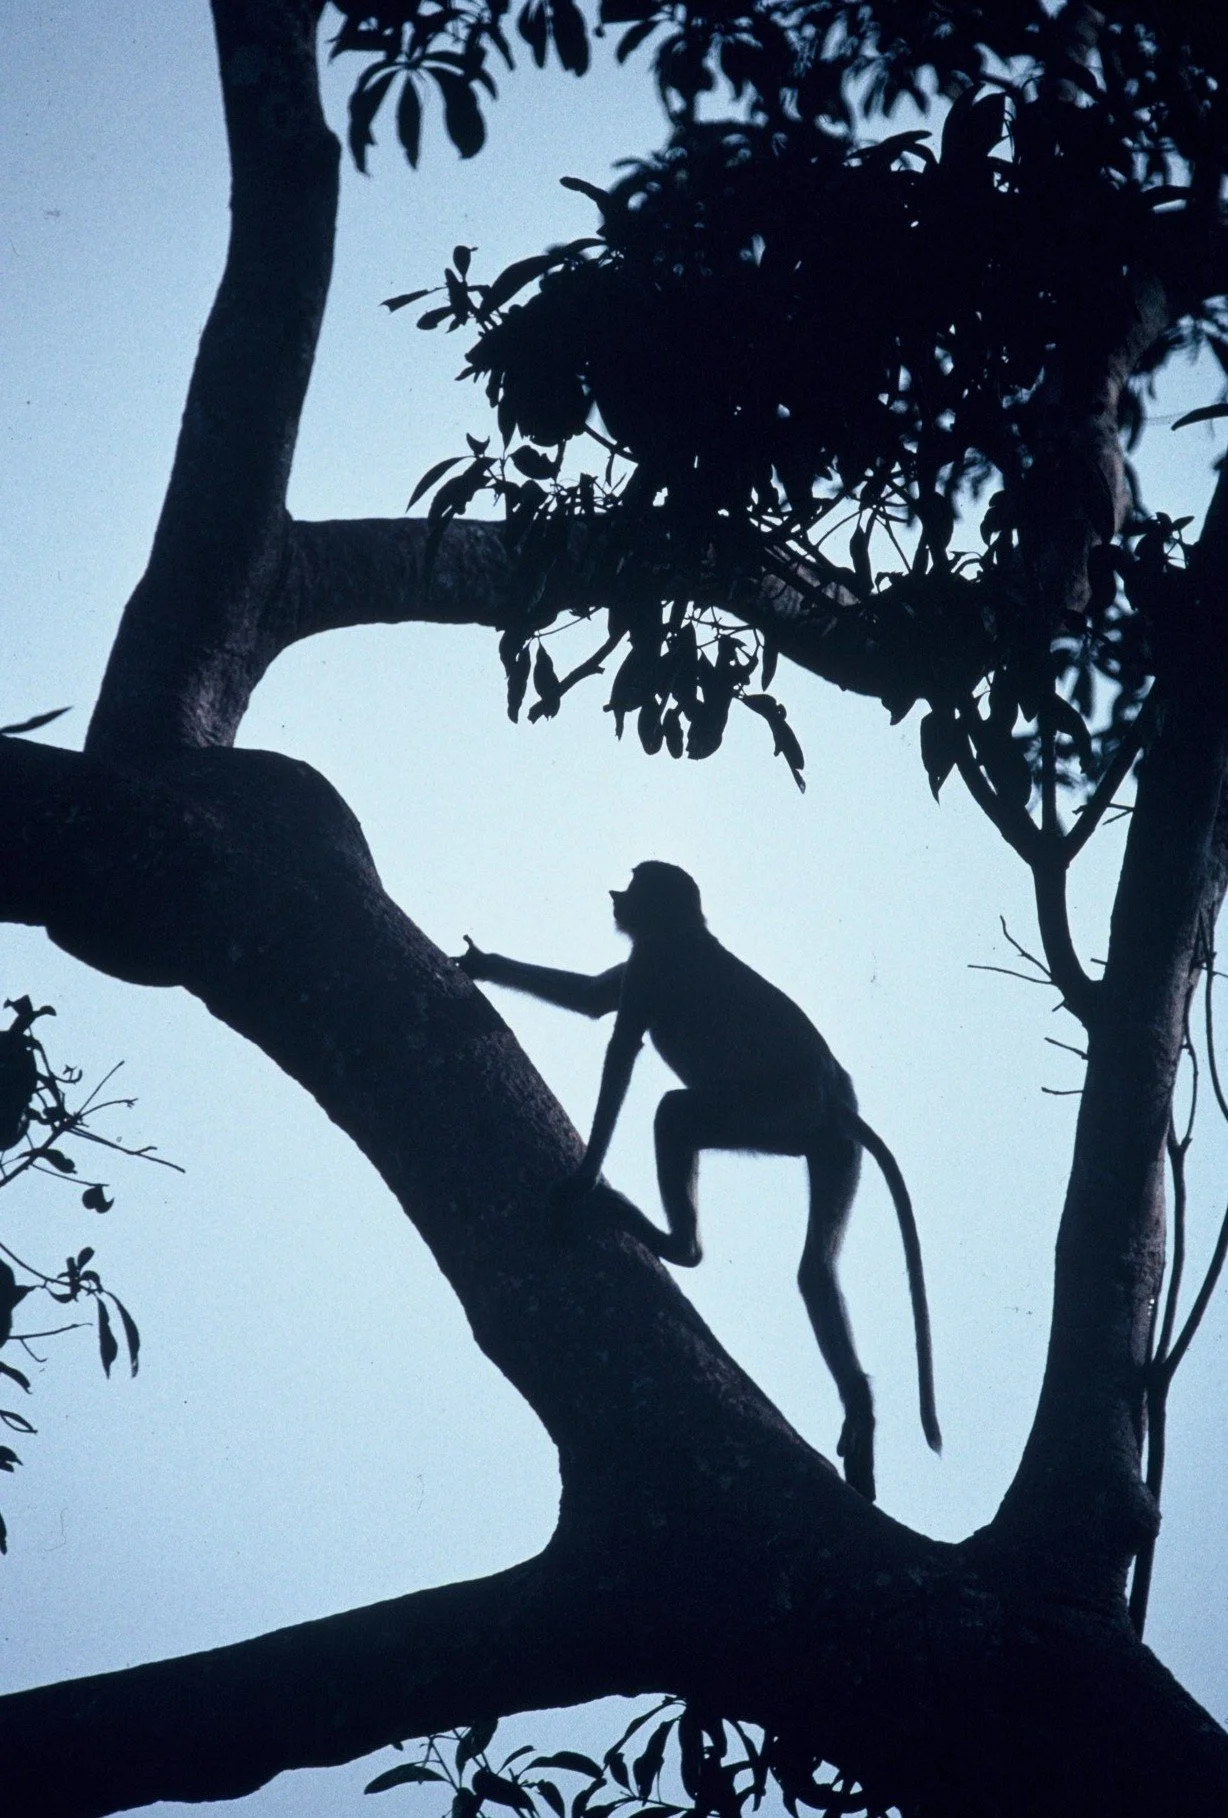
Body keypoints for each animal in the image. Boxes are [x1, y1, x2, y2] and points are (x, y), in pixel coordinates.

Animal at [457, 861, 940, 1501]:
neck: (688, 930)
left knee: (674, 1115)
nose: (615, 894)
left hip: (770, 1115)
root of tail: (833, 1100)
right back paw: (858, 1407)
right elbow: (593, 1000)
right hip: (833, 1148)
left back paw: (679, 1246)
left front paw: (581, 1181)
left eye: (635, 884)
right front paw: (481, 962)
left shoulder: (652, 961)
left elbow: (621, 1050)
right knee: (815, 1271)